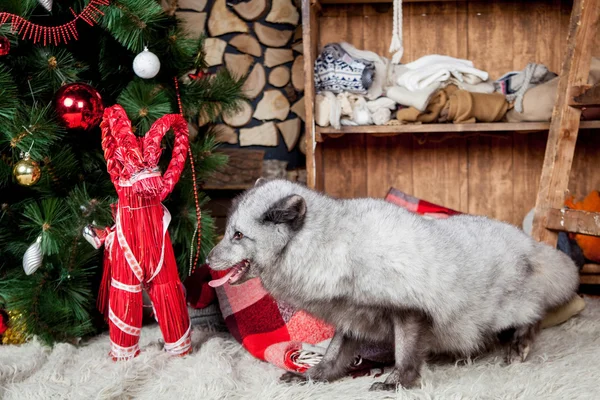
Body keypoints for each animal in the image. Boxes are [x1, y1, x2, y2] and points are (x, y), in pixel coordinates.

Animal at [207, 180, 580, 392]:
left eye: (238, 235)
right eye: (228, 232)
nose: (207, 259)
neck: (335, 245)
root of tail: (530, 244)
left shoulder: (409, 311)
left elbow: (405, 354)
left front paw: (398, 383)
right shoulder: (350, 317)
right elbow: (333, 355)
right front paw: (312, 378)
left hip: (505, 309)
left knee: (534, 315)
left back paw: (519, 346)